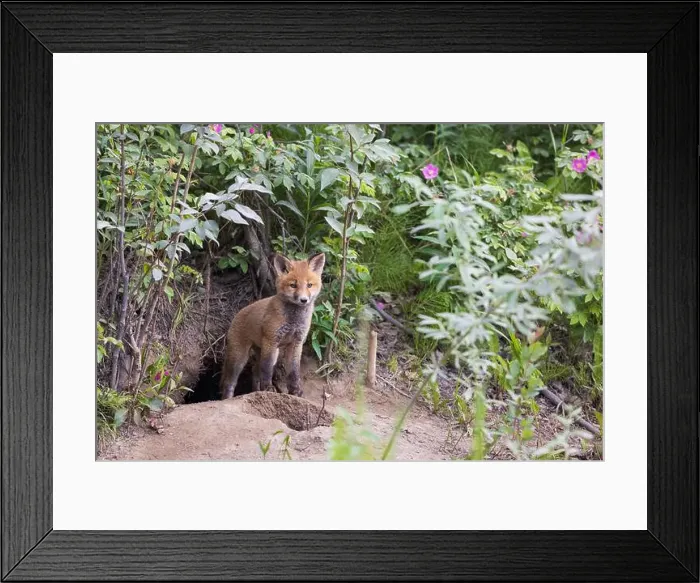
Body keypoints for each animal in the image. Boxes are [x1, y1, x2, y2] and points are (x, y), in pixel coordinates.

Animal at [219, 252, 325, 400]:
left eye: (309, 285)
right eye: (293, 285)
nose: (304, 300)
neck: (293, 320)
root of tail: (238, 313)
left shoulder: (296, 343)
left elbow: (293, 371)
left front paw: (295, 391)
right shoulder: (271, 340)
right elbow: (267, 369)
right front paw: (268, 388)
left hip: (266, 352)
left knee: (255, 371)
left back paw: (256, 391)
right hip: (239, 357)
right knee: (230, 382)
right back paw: (228, 398)